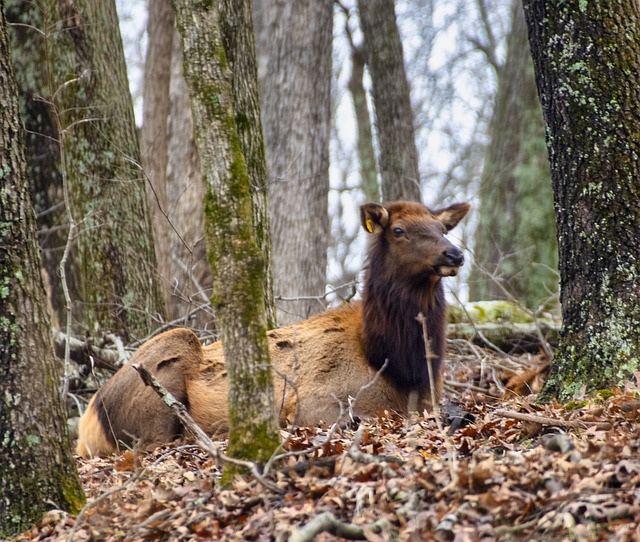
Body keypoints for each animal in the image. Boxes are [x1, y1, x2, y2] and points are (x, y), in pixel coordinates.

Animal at [76, 201, 470, 460]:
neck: (396, 364)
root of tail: (87, 420)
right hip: (166, 362)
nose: (454, 254)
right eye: (399, 230)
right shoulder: (314, 403)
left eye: (442, 228)